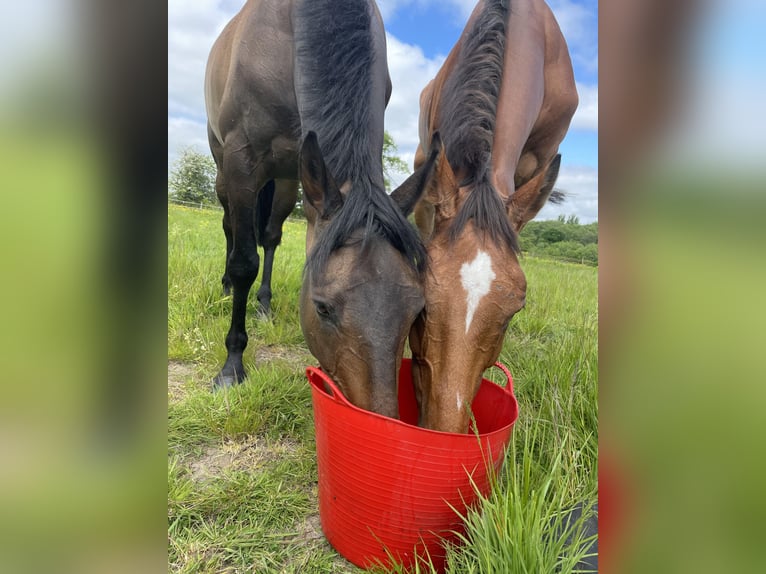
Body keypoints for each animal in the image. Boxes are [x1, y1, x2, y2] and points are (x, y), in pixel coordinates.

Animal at [207, 0, 440, 418]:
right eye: (322, 308)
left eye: (417, 310)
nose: (381, 417)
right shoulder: (240, 161)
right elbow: (244, 261)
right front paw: (232, 367)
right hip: (224, 170)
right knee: (231, 228)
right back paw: (226, 287)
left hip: (286, 178)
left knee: (270, 235)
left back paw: (263, 305)